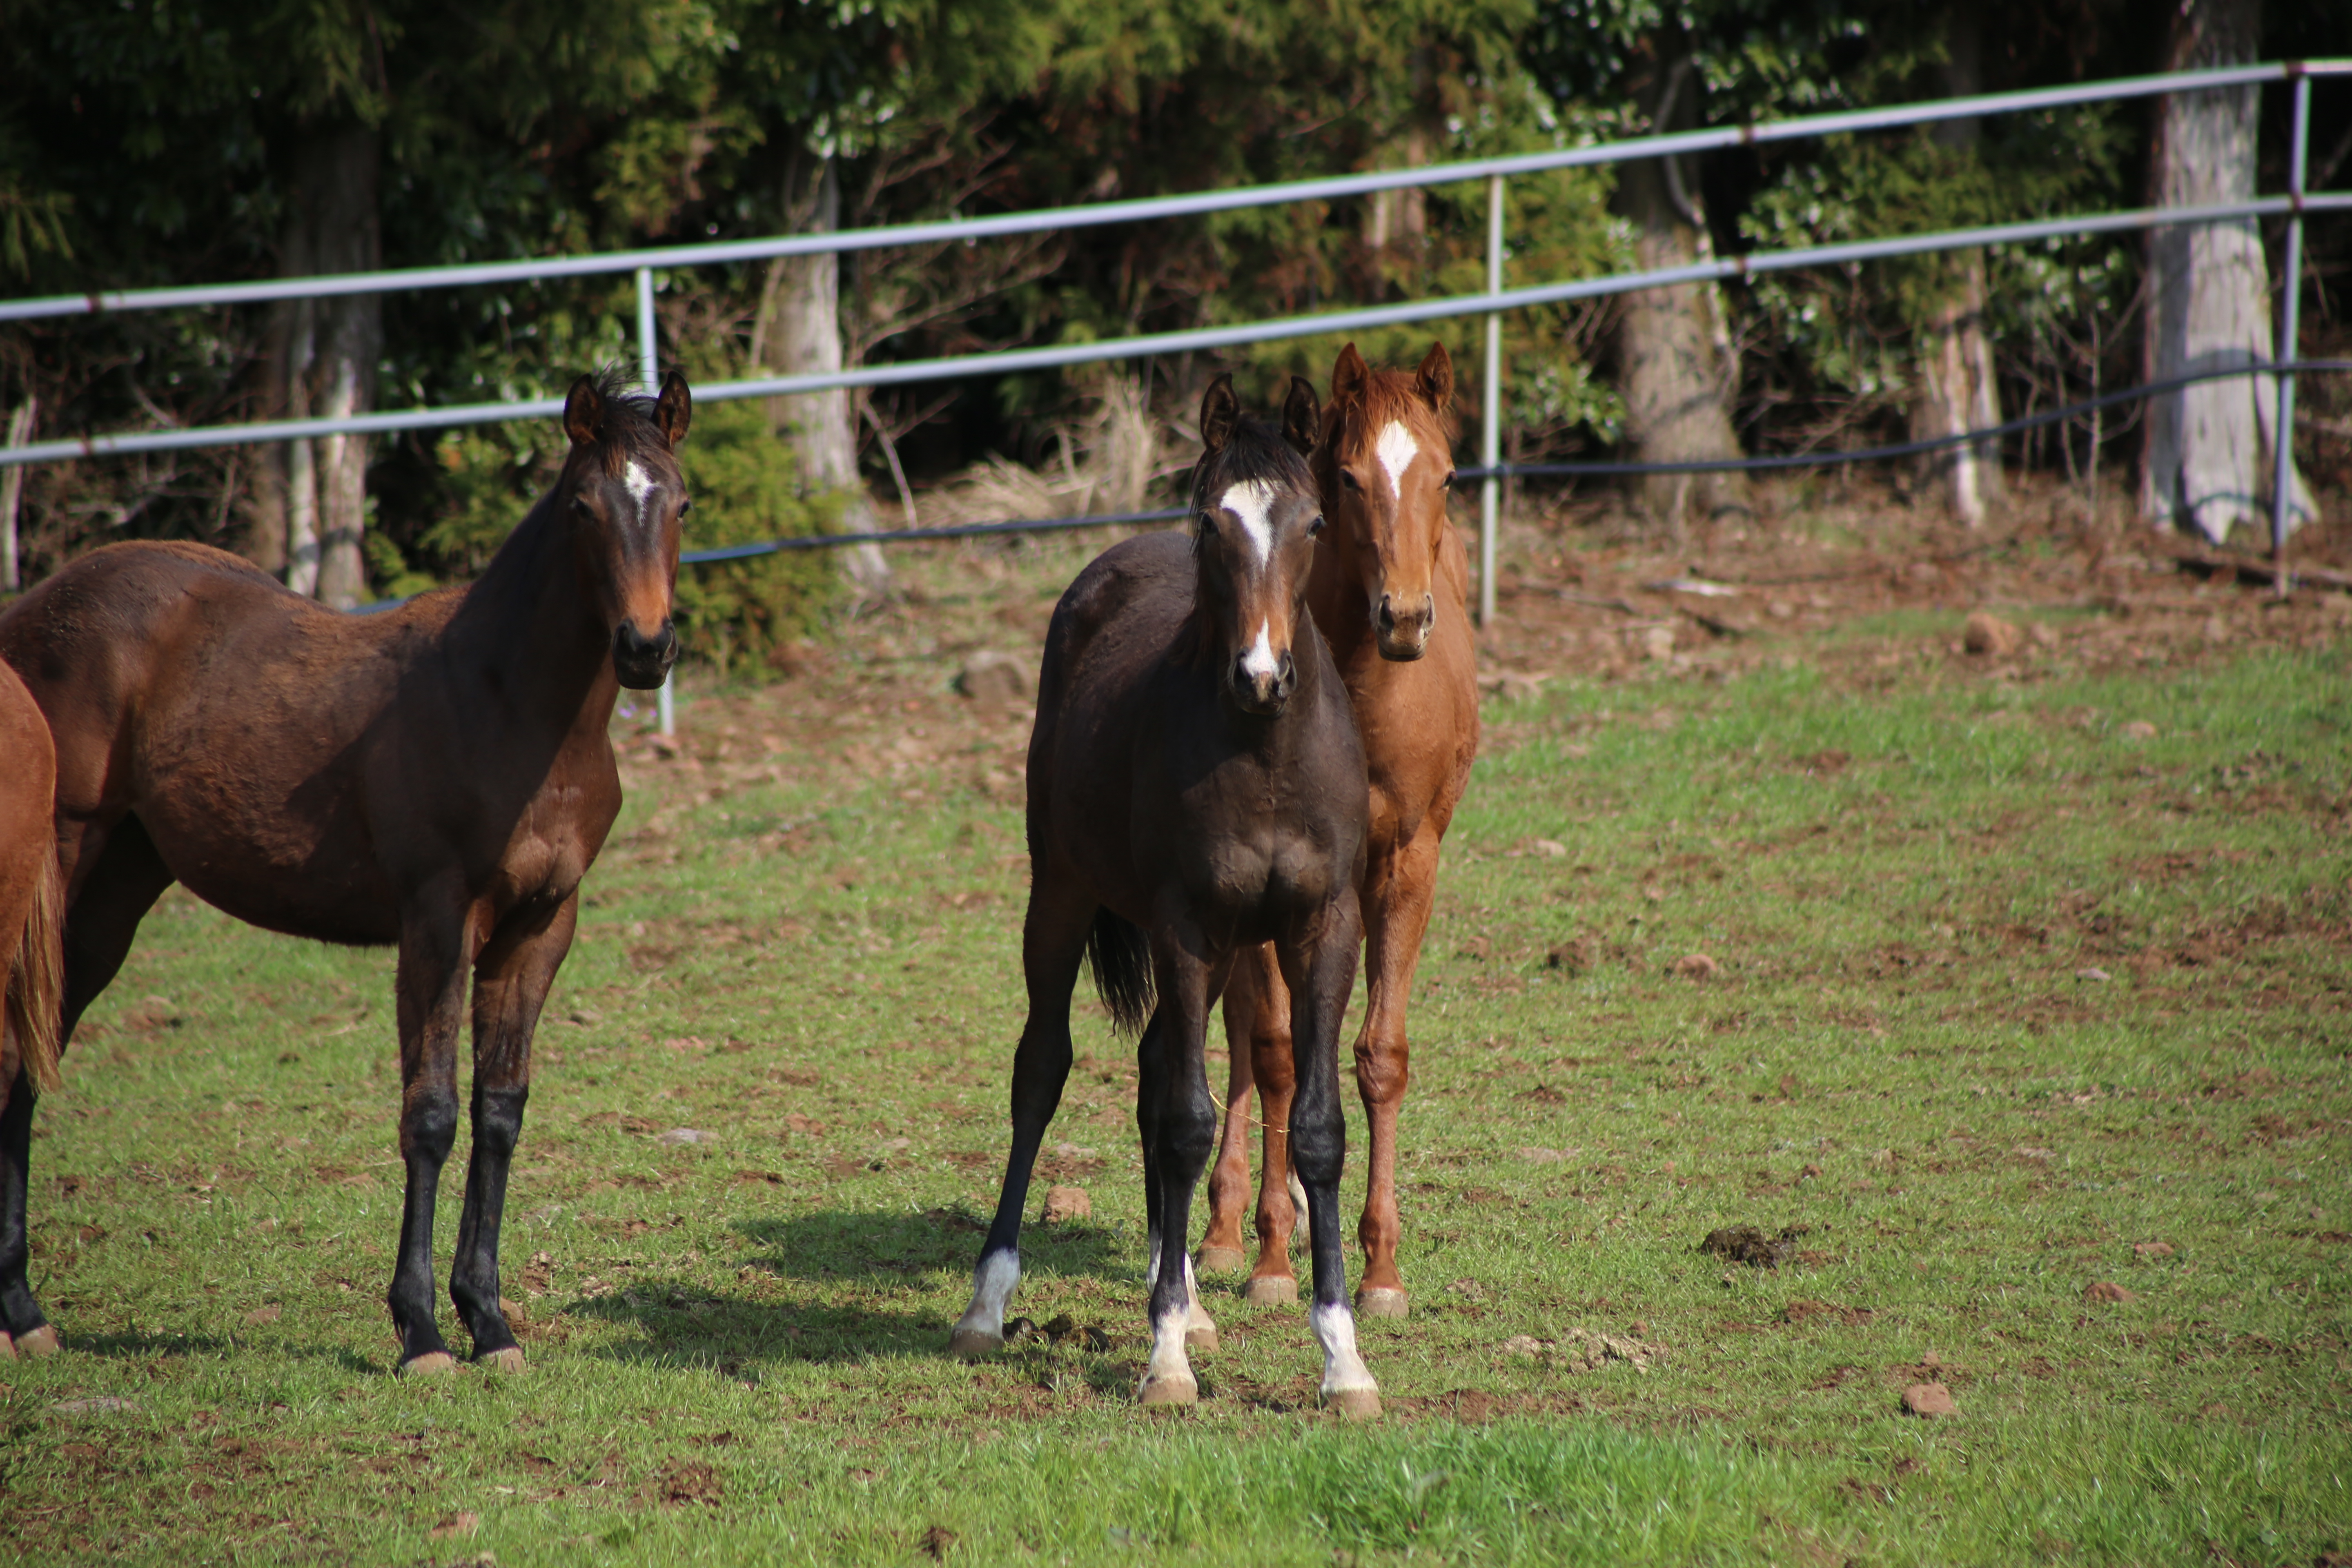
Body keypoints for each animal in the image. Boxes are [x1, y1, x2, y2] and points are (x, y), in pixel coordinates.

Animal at [0, 371, 691, 1373]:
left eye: (680, 503)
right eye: (584, 507)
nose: (645, 648)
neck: (506, 700)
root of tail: (31, 612)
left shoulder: (541, 927)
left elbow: (501, 1112)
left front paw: (490, 1321)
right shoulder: (437, 920)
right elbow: (431, 1114)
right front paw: (423, 1333)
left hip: (114, 895)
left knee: (29, 1055)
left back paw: (24, 1310)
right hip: (52, 876)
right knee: (14, 1055)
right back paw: (19, 1311)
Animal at [941, 381, 1373, 1420]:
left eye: (1311, 522)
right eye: (1211, 522)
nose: (1261, 676)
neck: (1264, 757)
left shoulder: (1320, 929)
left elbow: (1312, 1130)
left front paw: (1342, 1359)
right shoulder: (1183, 928)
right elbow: (1185, 1125)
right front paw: (1166, 1358)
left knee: (1149, 1074)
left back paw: (1170, 1283)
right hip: (1059, 896)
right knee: (1041, 1071)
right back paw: (988, 1303)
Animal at [1204, 345, 1477, 1326]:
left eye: (1447, 475)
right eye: (1350, 480)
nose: (1403, 617)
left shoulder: (1407, 862)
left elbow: (1380, 1056)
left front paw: (1382, 1270)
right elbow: (1278, 1053)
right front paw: (1273, 1255)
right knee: (1248, 1033)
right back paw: (1225, 1228)